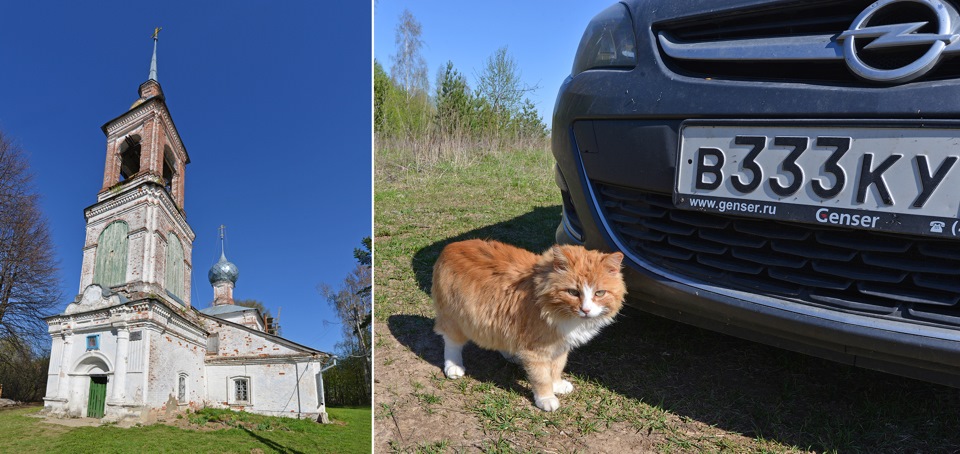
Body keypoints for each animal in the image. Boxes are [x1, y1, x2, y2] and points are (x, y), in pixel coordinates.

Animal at [432, 239, 628, 414]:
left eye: (599, 293)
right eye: (573, 292)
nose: (586, 310)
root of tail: (451, 246)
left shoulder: (560, 345)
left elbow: (557, 368)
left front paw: (557, 385)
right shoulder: (537, 350)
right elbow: (542, 378)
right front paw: (546, 398)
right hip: (455, 319)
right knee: (452, 343)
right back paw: (453, 367)